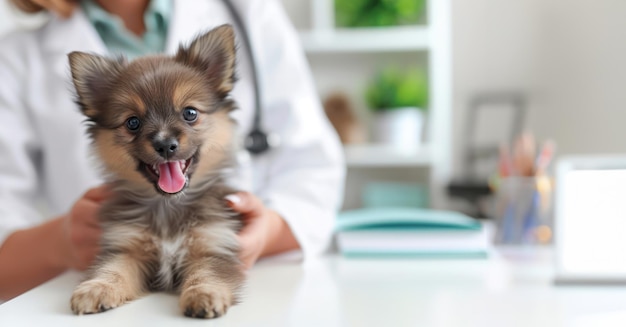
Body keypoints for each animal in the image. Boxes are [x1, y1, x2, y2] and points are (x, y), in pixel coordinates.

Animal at [67, 26, 244, 320]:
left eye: (190, 113)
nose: (165, 144)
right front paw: (96, 288)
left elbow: (206, 274)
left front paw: (204, 295)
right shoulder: (126, 246)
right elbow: (112, 268)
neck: (167, 207)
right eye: (132, 123)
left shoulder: (213, 245)